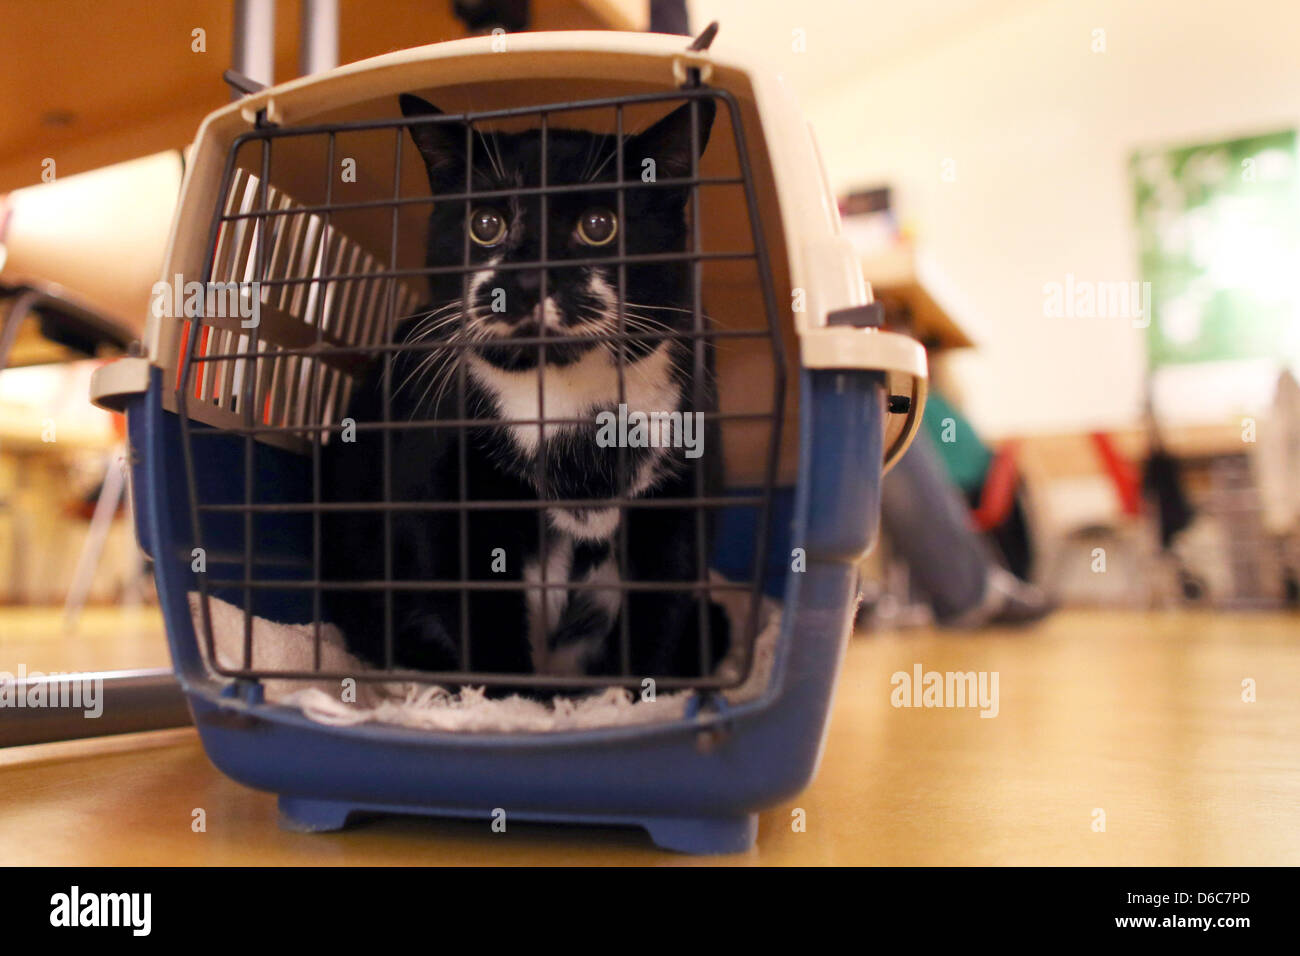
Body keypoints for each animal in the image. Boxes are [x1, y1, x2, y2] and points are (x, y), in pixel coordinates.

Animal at [321, 93, 733, 686]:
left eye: (599, 224)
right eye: (486, 223)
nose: (528, 278)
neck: (563, 393)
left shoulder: (678, 505)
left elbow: (658, 617)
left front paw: (635, 699)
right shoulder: (443, 498)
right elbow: (484, 620)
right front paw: (516, 702)